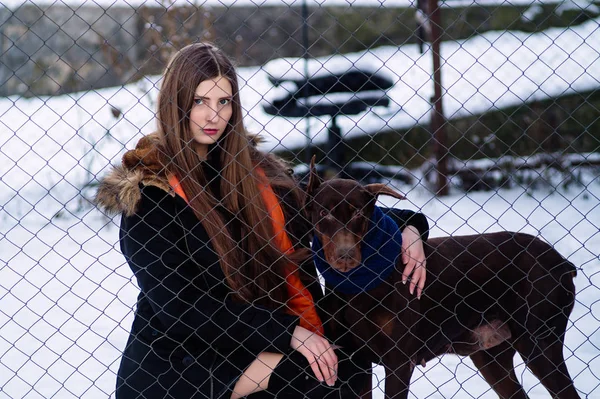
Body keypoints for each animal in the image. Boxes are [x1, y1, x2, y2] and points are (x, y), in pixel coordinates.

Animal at [304, 159, 580, 399]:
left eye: (358, 213)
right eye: (324, 213)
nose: (346, 256)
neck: (357, 285)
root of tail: (561, 262)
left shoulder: (399, 361)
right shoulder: (355, 361)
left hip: (540, 343)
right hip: (492, 355)